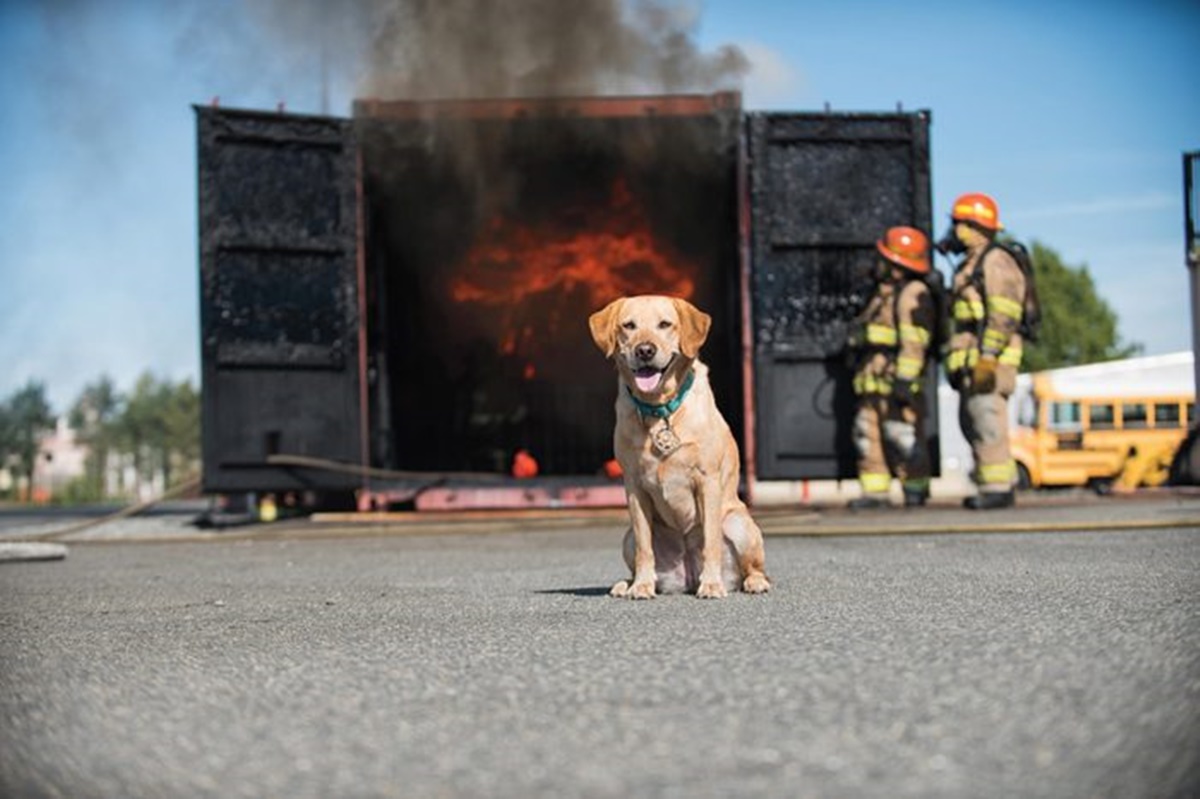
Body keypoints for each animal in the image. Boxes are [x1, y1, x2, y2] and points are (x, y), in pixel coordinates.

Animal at [588, 293, 768, 597]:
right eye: (629, 325)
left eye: (664, 324)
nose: (645, 350)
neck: (660, 409)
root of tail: (688, 575)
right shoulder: (634, 487)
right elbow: (645, 547)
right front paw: (642, 586)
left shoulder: (707, 480)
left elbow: (710, 541)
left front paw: (712, 585)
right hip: (627, 537)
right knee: (637, 553)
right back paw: (627, 584)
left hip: (739, 524)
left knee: (752, 568)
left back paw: (751, 582)